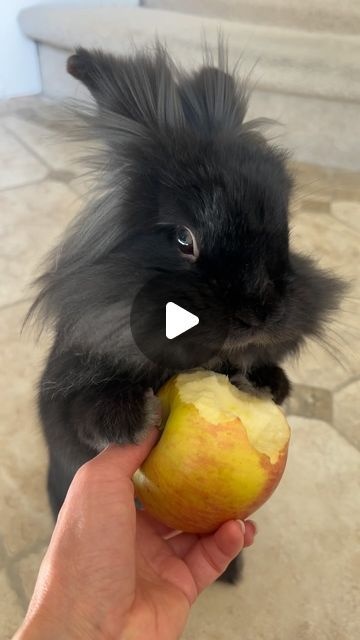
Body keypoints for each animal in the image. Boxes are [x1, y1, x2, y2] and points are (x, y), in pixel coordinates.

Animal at [27, 46, 344, 584]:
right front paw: (133, 416)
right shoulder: (65, 395)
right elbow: (83, 411)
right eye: (182, 239)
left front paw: (269, 383)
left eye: (284, 230)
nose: (259, 314)